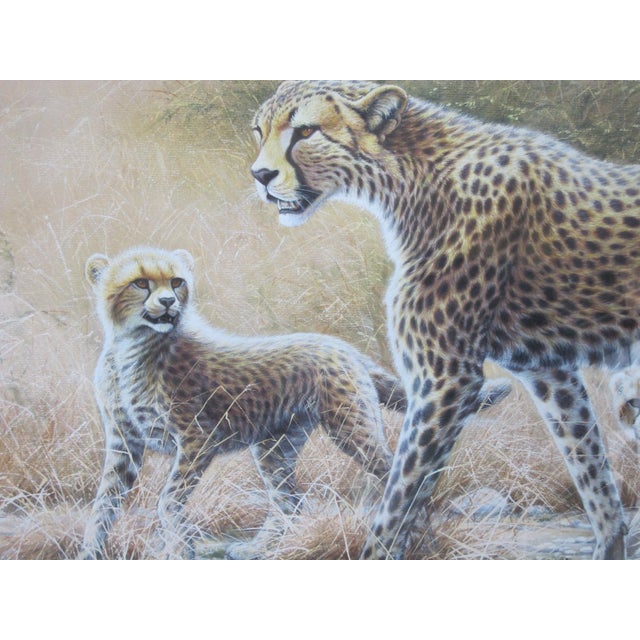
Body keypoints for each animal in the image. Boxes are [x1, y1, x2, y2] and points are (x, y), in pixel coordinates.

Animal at [251, 80, 640, 559]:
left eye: (306, 131)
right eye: (259, 131)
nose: (260, 176)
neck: (409, 177)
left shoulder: (446, 380)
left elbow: (399, 498)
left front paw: (378, 552)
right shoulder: (546, 370)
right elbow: (591, 470)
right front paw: (610, 548)